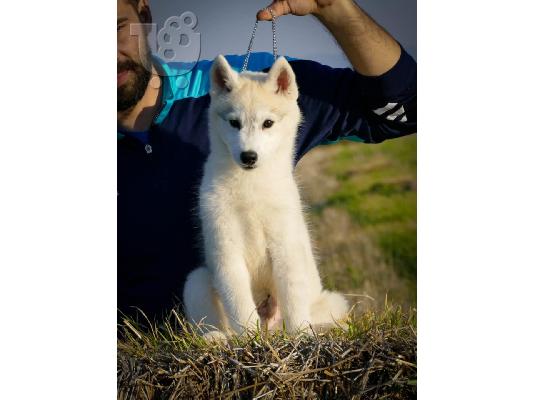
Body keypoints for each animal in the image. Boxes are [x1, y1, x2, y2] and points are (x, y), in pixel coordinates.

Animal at [184, 54, 352, 340]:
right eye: (234, 123)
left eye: (268, 123)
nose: (249, 157)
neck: (251, 186)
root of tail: (271, 330)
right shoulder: (226, 252)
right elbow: (240, 306)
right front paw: (248, 339)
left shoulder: (286, 247)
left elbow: (293, 302)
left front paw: (300, 337)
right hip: (196, 281)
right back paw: (218, 338)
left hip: (330, 301)